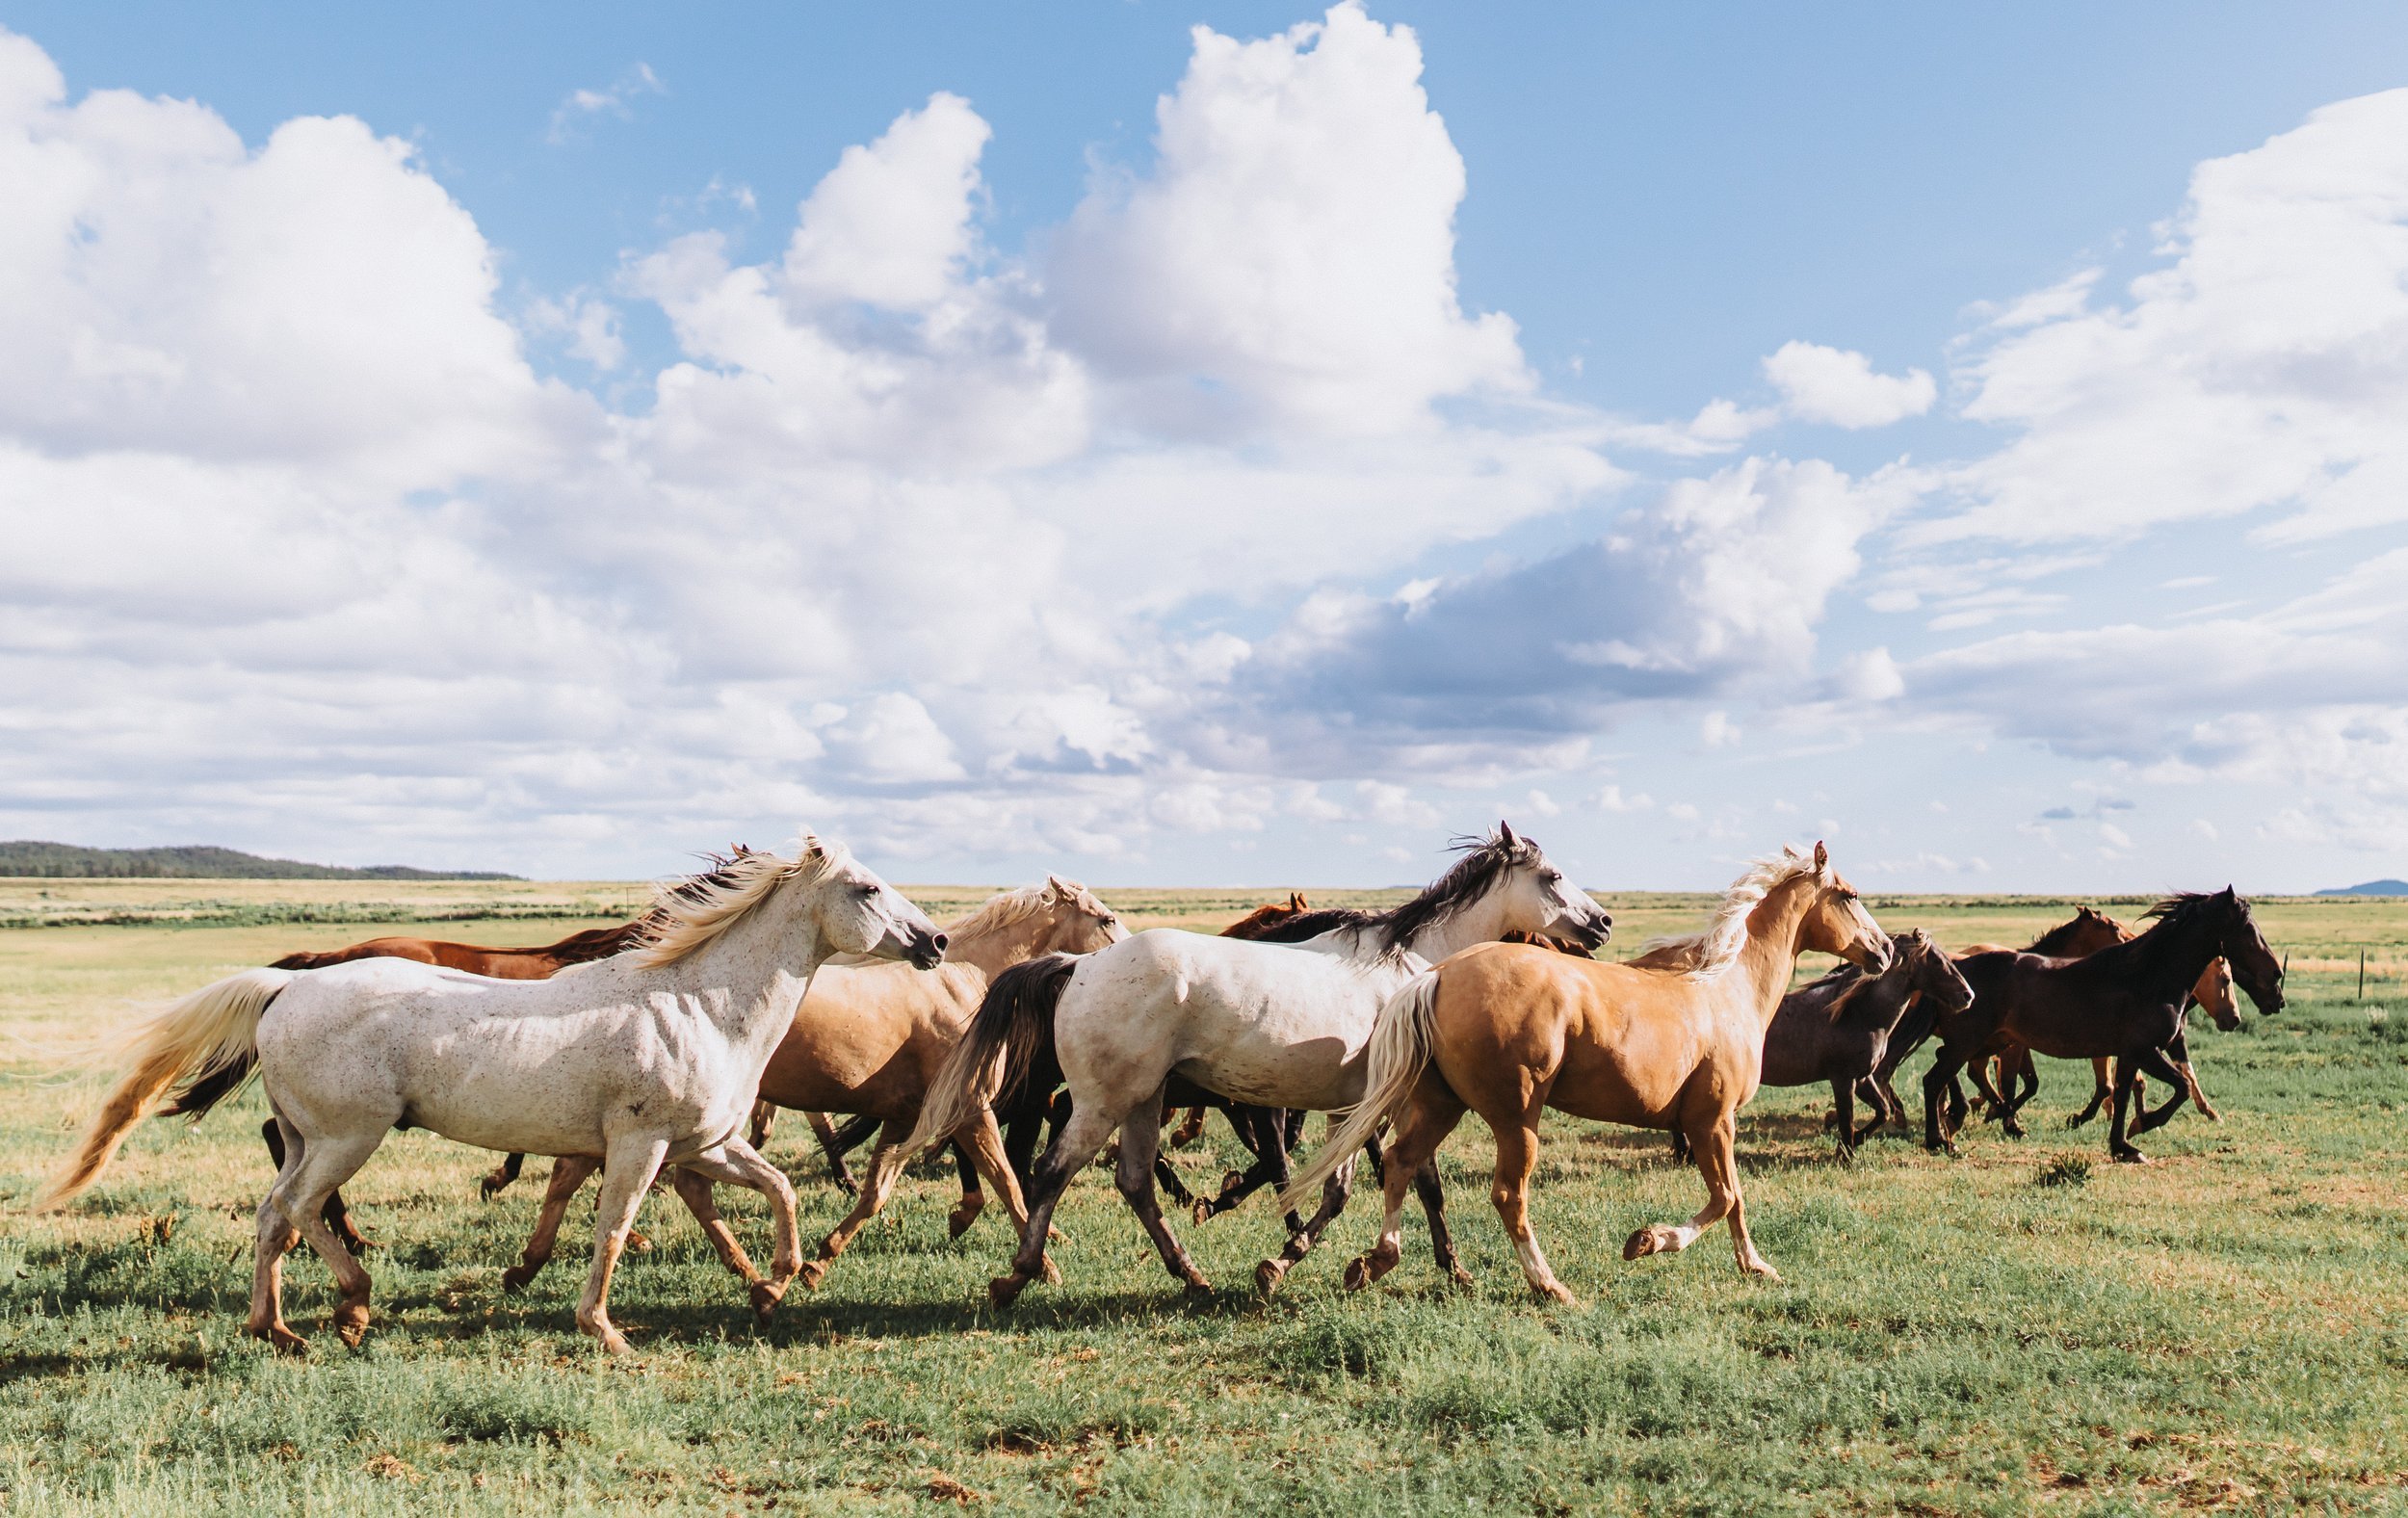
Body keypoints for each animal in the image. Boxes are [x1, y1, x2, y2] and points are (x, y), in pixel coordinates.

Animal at [43, 832, 949, 1355]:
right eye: (868, 889)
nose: (936, 941)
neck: (697, 1002)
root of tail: (287, 984)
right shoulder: (641, 1146)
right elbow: (612, 1230)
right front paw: (606, 1332)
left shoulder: (707, 1145)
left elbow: (780, 1188)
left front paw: (782, 1280)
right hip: (347, 1138)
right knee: (300, 1209)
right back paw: (352, 1307)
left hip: (304, 1138)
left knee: (273, 1215)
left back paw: (280, 1329)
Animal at [492, 877, 1125, 1295]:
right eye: (1105, 919)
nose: (1124, 960)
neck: (961, 986)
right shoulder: (972, 1111)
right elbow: (1007, 1182)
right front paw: (1040, 1264)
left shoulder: (904, 1115)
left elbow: (875, 1192)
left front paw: (820, 1259)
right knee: (617, 1180)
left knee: (606, 1179)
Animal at [908, 823, 1613, 1308]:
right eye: (1552, 877)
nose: (1603, 925)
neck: (1410, 970)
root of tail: (1077, 965)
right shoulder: (1374, 1106)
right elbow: (1348, 1188)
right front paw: (1286, 1262)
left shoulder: (1367, 1105)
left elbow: (1404, 1184)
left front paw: (1448, 1267)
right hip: (1104, 1102)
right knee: (1051, 1171)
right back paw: (1019, 1277)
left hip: (1142, 1101)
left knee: (1134, 1182)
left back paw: (1191, 1275)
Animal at [1284, 843, 1890, 1302]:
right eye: (1851, 895)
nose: (1883, 951)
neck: (1725, 987)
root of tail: (1438, 975)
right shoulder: (1712, 1121)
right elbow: (1725, 1199)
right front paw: (1651, 1242)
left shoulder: (1711, 1126)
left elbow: (1734, 1200)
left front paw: (1753, 1267)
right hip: (1517, 1119)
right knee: (1508, 1196)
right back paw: (1551, 1287)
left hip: (1442, 1105)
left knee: (1400, 1163)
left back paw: (1373, 1263)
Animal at [1919, 890, 2282, 1163]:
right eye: (2249, 931)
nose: (2276, 979)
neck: (2148, 977)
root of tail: (1960, 970)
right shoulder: (2144, 1050)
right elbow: (2179, 1086)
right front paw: (2142, 1125)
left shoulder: (2130, 1054)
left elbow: (2122, 1093)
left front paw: (2123, 1146)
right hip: (1971, 1042)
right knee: (1934, 1079)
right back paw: (1942, 1140)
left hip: (1985, 1043)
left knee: (1948, 1073)